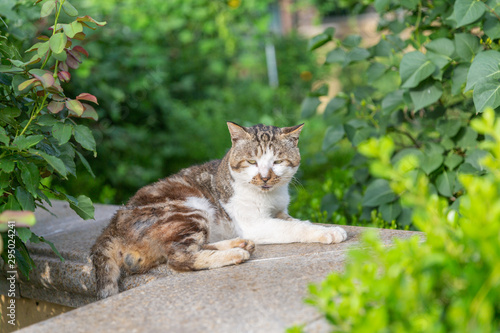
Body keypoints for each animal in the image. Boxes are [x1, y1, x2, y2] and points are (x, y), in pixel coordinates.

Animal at [91, 122, 348, 298]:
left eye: (277, 162)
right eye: (252, 162)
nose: (265, 177)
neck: (269, 196)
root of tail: (112, 225)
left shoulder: (279, 212)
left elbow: (293, 221)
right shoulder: (255, 224)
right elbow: (294, 228)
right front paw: (328, 231)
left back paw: (238, 244)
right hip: (191, 210)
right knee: (179, 257)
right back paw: (235, 254)